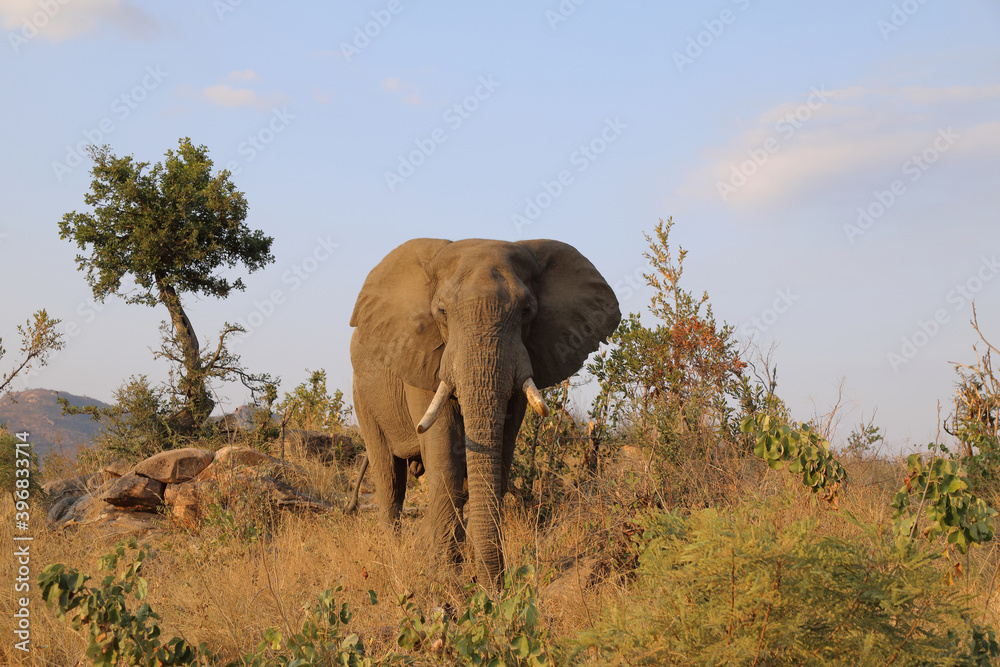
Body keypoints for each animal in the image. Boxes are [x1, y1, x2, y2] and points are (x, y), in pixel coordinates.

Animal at [349, 238, 620, 587]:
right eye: (442, 312)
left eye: (527, 311)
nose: (495, 587)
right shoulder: (424, 357)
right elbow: (445, 453)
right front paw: (446, 577)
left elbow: (500, 451)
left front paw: (469, 576)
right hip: (363, 395)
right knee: (388, 478)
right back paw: (397, 558)